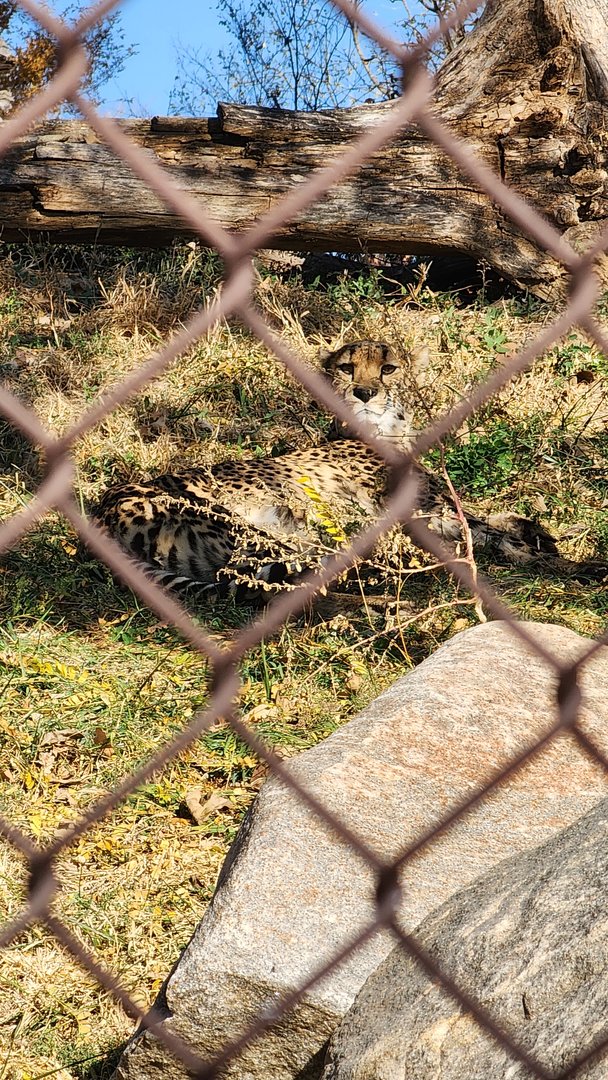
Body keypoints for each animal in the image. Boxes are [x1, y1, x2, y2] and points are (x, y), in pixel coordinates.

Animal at [92, 339, 595, 596]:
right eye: (347, 368)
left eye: (389, 368)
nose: (365, 393)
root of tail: (104, 510)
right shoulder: (416, 511)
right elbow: (488, 529)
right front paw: (575, 563)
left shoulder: (431, 509)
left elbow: (491, 519)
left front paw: (540, 533)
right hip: (243, 526)